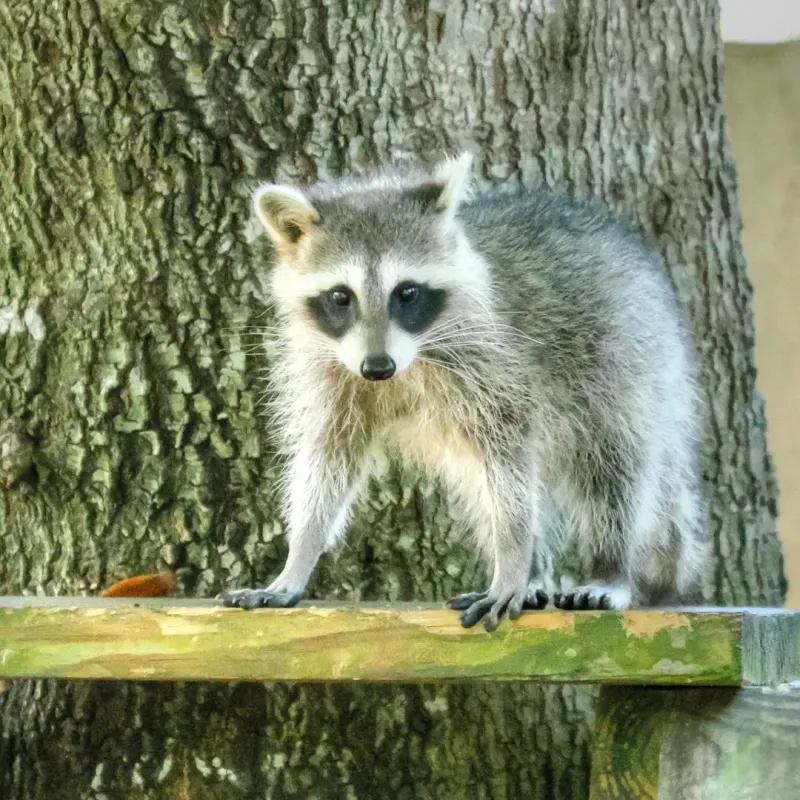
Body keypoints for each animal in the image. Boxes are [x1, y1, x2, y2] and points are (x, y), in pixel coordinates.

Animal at [221, 152, 709, 631]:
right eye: (341, 297)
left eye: (407, 293)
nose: (378, 367)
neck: (408, 360)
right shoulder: (333, 373)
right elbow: (328, 459)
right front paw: (299, 555)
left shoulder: (495, 368)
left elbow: (512, 460)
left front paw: (512, 560)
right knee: (483, 483)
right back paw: (536, 574)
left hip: (626, 359)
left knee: (615, 468)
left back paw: (609, 567)